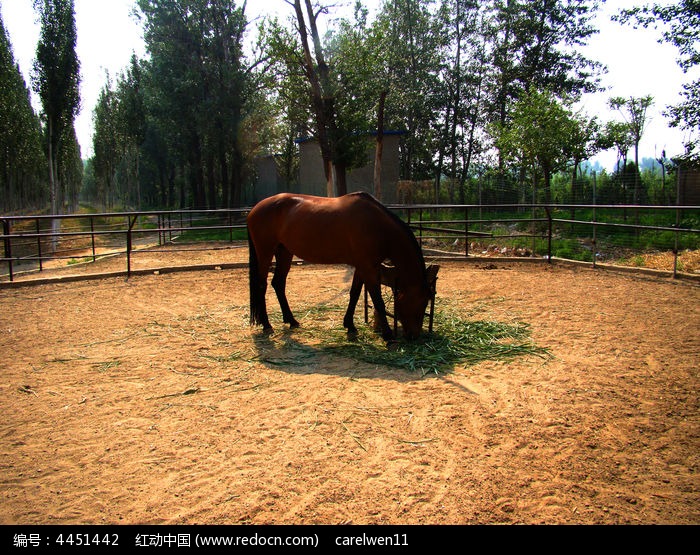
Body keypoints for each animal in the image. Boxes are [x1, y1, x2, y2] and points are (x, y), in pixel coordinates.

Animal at [246, 191, 432, 340]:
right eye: (420, 302)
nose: (414, 336)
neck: (377, 226)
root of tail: (254, 210)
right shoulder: (368, 267)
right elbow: (377, 300)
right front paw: (387, 335)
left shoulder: (362, 266)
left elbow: (354, 294)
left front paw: (350, 325)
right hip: (265, 252)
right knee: (262, 285)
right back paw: (267, 325)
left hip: (284, 252)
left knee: (278, 283)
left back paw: (291, 320)